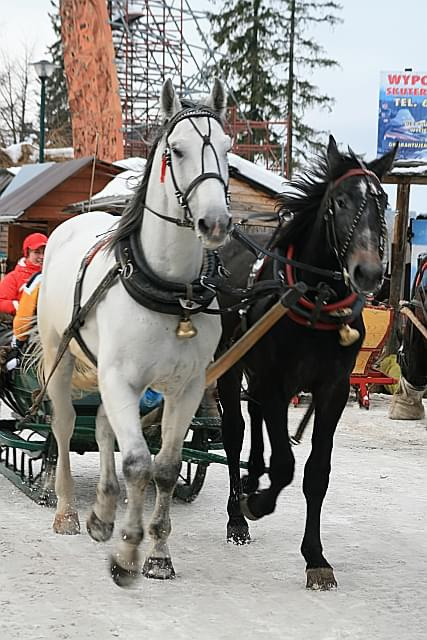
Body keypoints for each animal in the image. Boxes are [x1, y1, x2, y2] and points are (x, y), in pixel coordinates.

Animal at [37, 79, 232, 584]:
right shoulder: (120, 378)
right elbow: (138, 462)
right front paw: (127, 551)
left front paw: (157, 551)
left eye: (228, 147)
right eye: (176, 151)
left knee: (104, 428)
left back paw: (104, 510)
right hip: (59, 356)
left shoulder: (186, 388)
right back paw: (67, 509)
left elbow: (164, 467)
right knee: (65, 426)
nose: (216, 223)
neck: (172, 291)